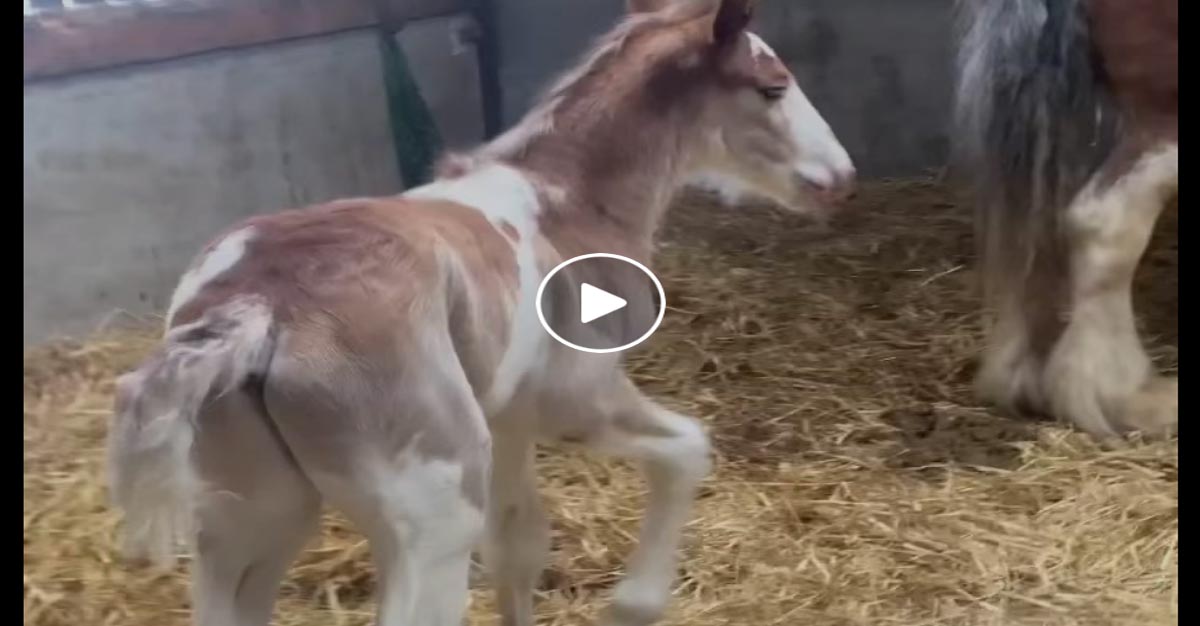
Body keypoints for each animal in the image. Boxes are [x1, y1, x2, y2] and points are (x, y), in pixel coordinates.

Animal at [110, 1, 854, 623]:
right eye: (773, 86)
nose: (840, 177)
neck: (568, 201)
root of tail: (258, 308)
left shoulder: (510, 418)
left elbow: (518, 543)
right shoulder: (574, 399)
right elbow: (688, 448)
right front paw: (635, 601)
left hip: (251, 513)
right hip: (434, 510)